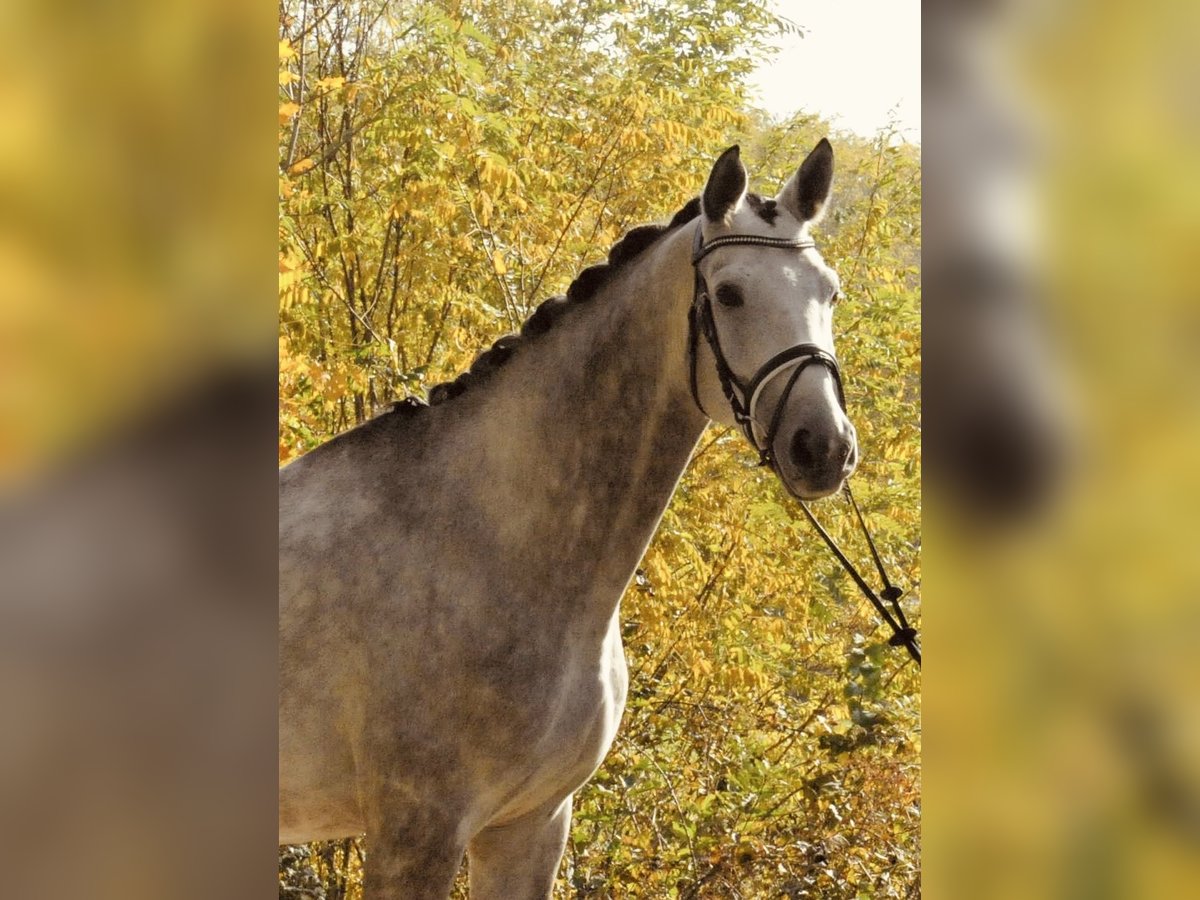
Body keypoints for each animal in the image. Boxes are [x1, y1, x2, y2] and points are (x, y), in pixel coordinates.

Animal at [279, 137, 859, 897]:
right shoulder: (415, 835)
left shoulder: (532, 824)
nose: (824, 447)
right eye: (730, 293)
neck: (484, 545)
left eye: (830, 291)